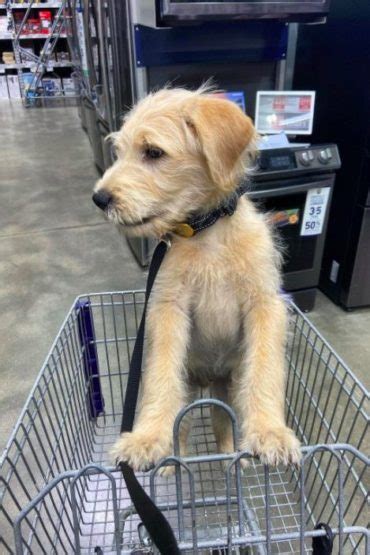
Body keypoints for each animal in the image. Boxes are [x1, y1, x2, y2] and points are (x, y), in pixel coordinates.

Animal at [92, 87, 300, 470]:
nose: (99, 198)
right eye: (119, 152)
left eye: (153, 152)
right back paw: (172, 464)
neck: (207, 233)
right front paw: (146, 438)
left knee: (223, 422)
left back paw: (234, 457)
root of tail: (209, 380)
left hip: (230, 385)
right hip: (187, 388)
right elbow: (159, 378)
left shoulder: (266, 305)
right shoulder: (167, 308)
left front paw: (270, 432)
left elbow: (266, 370)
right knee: (184, 426)